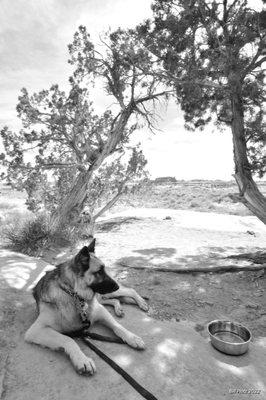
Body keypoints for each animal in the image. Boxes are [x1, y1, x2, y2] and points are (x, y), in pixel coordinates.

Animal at [24, 241, 148, 376]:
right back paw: (119, 308)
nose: (116, 286)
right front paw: (82, 359)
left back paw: (142, 303)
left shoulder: (100, 311)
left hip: (106, 295)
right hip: (103, 296)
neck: (74, 294)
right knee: (116, 299)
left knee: (130, 291)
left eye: (104, 269)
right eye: (99, 272)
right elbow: (68, 339)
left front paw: (132, 337)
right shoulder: (36, 330)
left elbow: (118, 326)